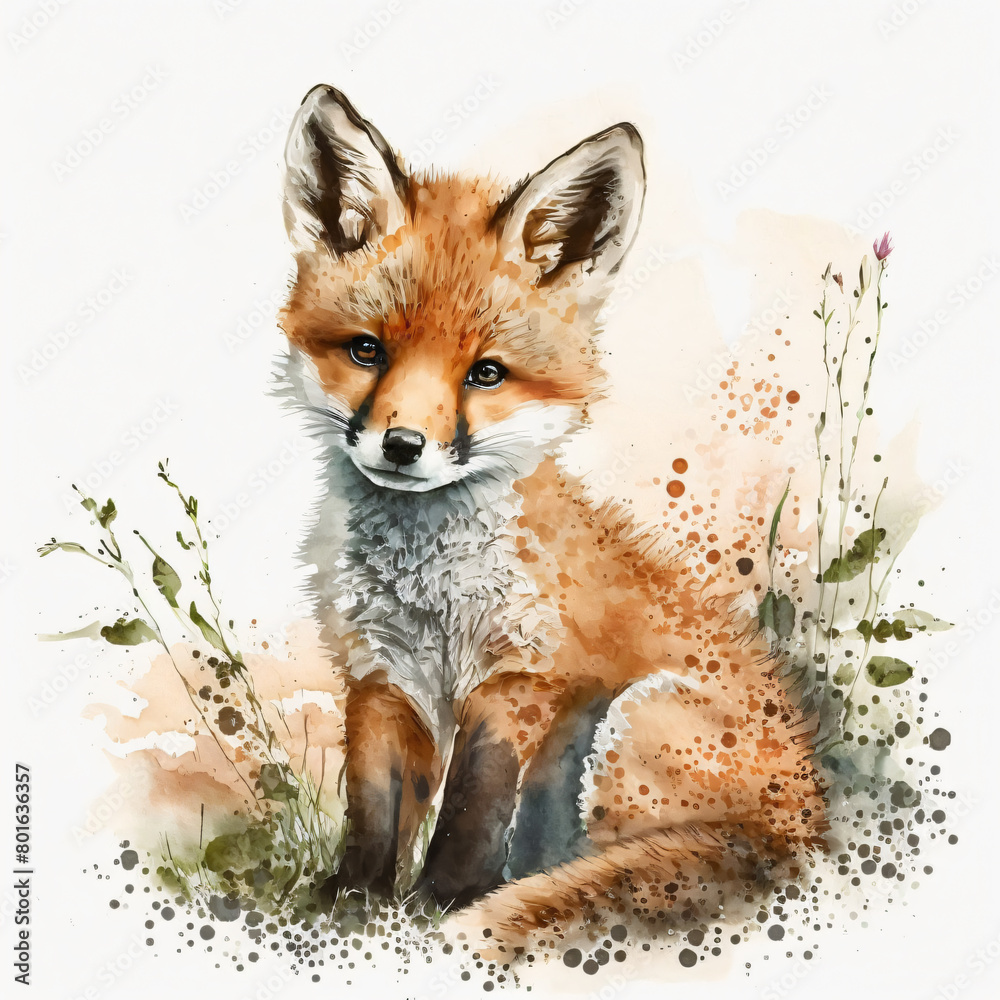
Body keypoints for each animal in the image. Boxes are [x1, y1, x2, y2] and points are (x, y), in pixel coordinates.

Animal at [277, 85, 826, 943]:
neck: (430, 588)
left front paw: (442, 904)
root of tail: (803, 839)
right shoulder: (381, 674)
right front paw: (353, 909)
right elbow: (374, 808)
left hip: (632, 719)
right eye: (368, 351)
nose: (401, 446)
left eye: (486, 373)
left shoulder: (520, 676)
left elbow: (473, 805)